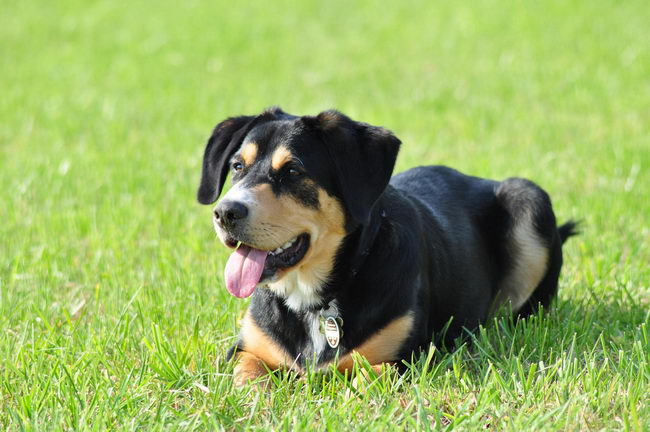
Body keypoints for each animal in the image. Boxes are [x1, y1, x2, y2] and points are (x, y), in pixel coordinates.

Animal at [195, 106, 576, 386]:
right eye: (237, 166)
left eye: (292, 171)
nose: (225, 213)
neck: (314, 301)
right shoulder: (245, 350)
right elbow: (248, 376)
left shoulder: (406, 358)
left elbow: (364, 375)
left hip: (527, 196)